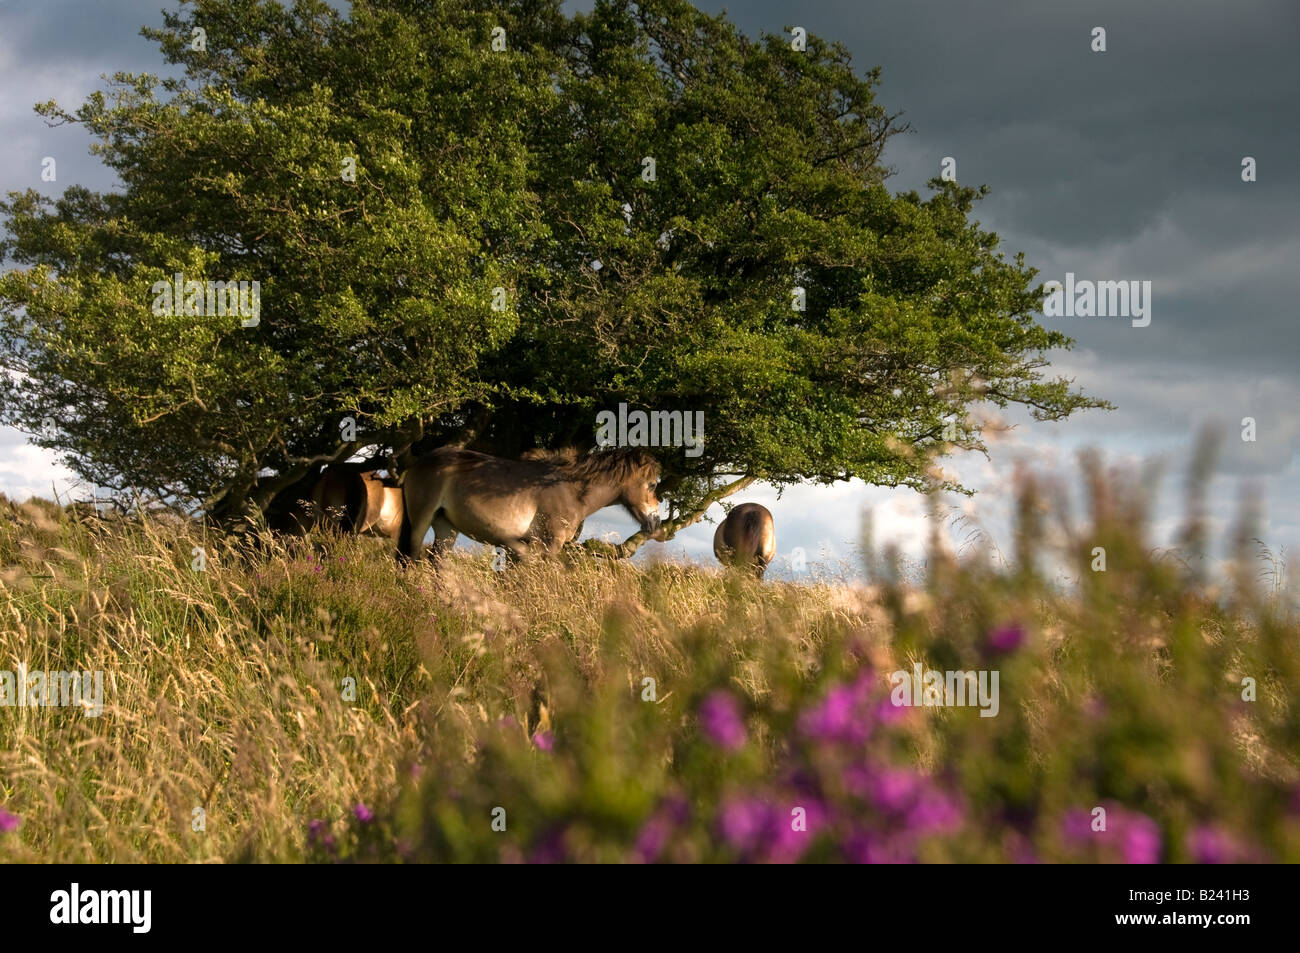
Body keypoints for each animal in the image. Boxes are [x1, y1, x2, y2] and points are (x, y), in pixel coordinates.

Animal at [395, 447, 660, 564]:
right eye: (652, 484)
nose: (655, 522)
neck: (570, 490)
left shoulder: (522, 547)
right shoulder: (549, 546)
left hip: (446, 527)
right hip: (421, 521)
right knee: (408, 558)